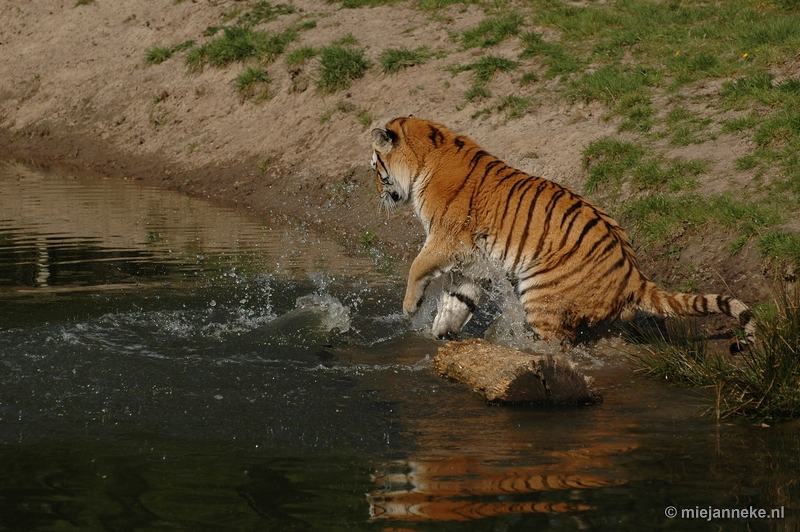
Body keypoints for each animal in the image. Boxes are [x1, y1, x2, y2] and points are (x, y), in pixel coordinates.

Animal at [368, 116, 756, 350]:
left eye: (375, 167)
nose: (377, 194)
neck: (426, 158)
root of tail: (633, 274)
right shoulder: (473, 263)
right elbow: (457, 300)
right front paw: (440, 332)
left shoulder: (446, 239)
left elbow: (417, 267)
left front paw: (410, 307)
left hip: (540, 292)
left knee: (557, 345)